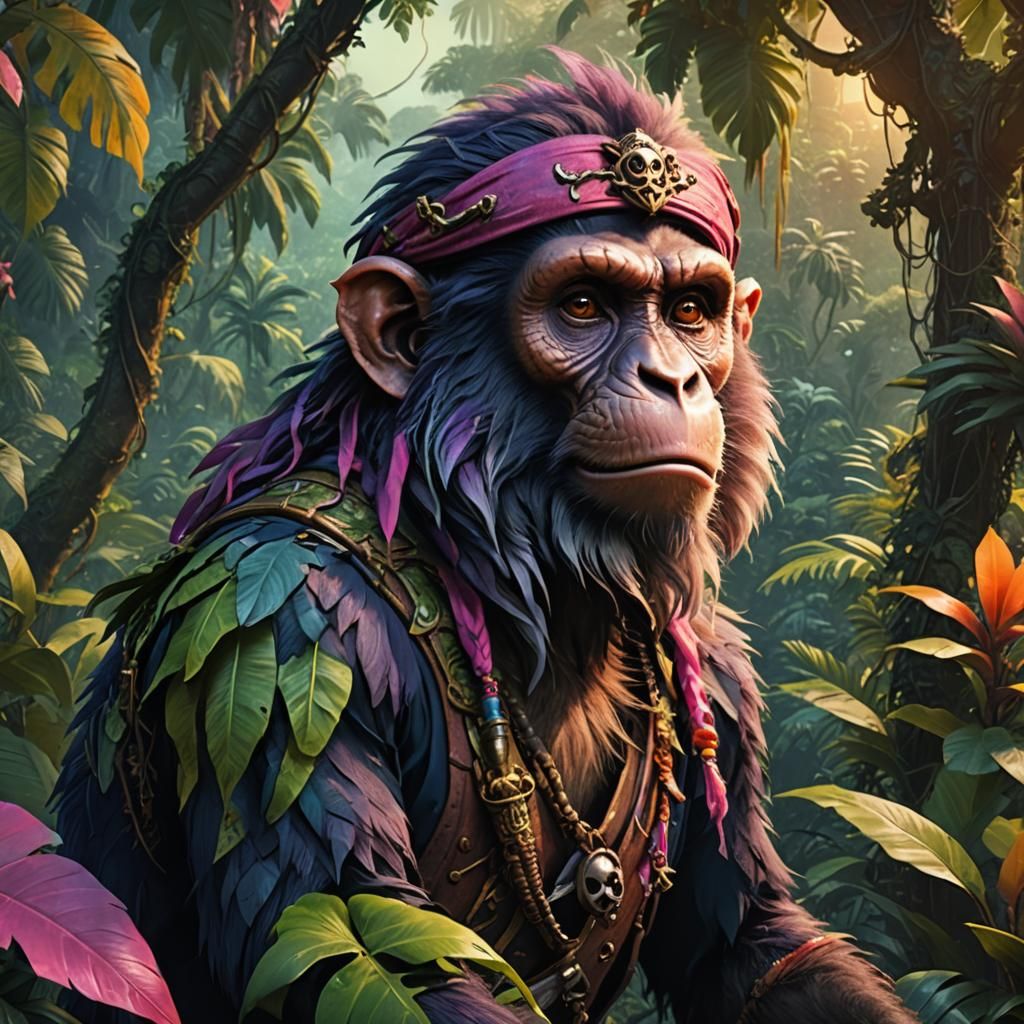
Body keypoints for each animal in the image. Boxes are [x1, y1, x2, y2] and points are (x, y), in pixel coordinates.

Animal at [55, 51, 918, 1024]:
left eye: (692, 312)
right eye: (583, 306)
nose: (675, 379)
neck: (510, 568)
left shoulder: (718, 678)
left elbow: (752, 945)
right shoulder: (280, 626)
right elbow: (358, 950)